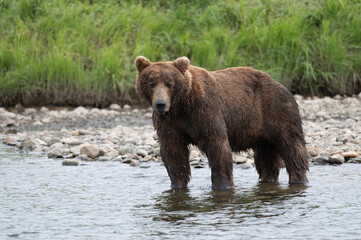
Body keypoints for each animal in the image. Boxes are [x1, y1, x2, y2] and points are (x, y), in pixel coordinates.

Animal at [134, 55, 308, 189]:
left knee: (291, 145)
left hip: (276, 108)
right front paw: (177, 184)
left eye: (169, 83)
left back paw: (298, 178)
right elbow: (173, 152)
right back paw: (267, 178)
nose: (160, 104)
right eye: (151, 83)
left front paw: (222, 185)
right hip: (261, 130)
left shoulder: (205, 111)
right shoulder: (170, 122)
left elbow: (217, 145)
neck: (181, 106)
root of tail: (278, 83)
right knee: (266, 155)